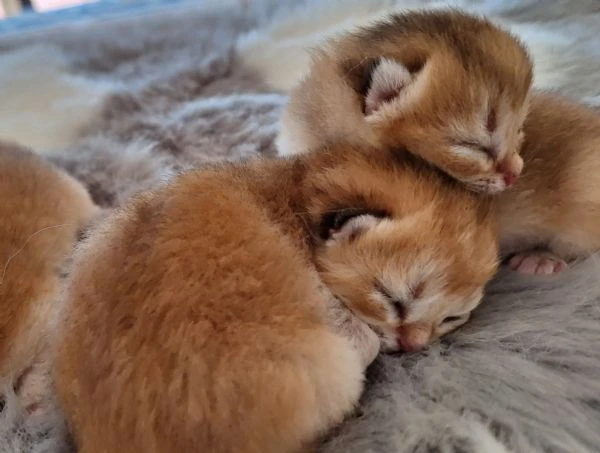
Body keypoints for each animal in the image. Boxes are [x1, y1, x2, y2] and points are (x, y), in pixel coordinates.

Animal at [55, 144, 496, 452]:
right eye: (393, 299)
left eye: (451, 319)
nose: (413, 346)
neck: (295, 189)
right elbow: (365, 335)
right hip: (332, 367)